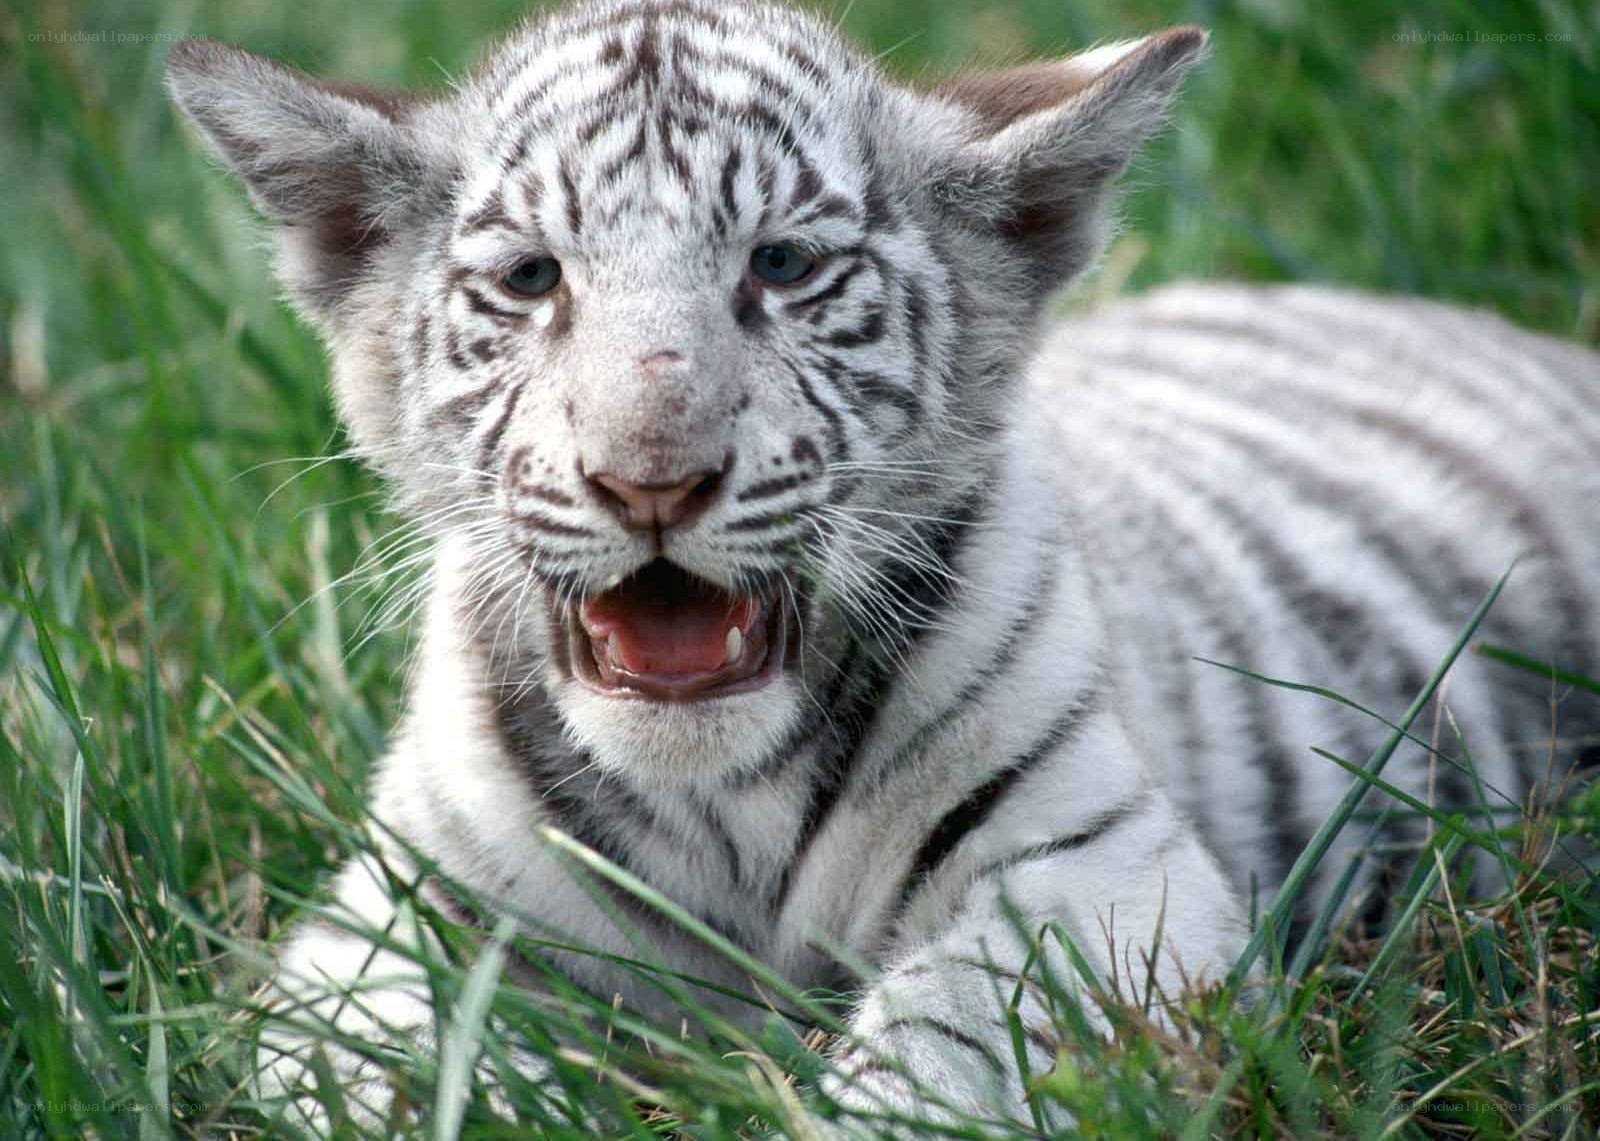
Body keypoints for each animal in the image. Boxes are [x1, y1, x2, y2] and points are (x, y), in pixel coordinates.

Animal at [164, 0, 1600, 1131]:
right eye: (531, 279)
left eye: (782, 266)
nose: (650, 478)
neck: (718, 802)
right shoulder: (391, 924)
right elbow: (369, 1078)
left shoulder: (1106, 874)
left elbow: (948, 1034)